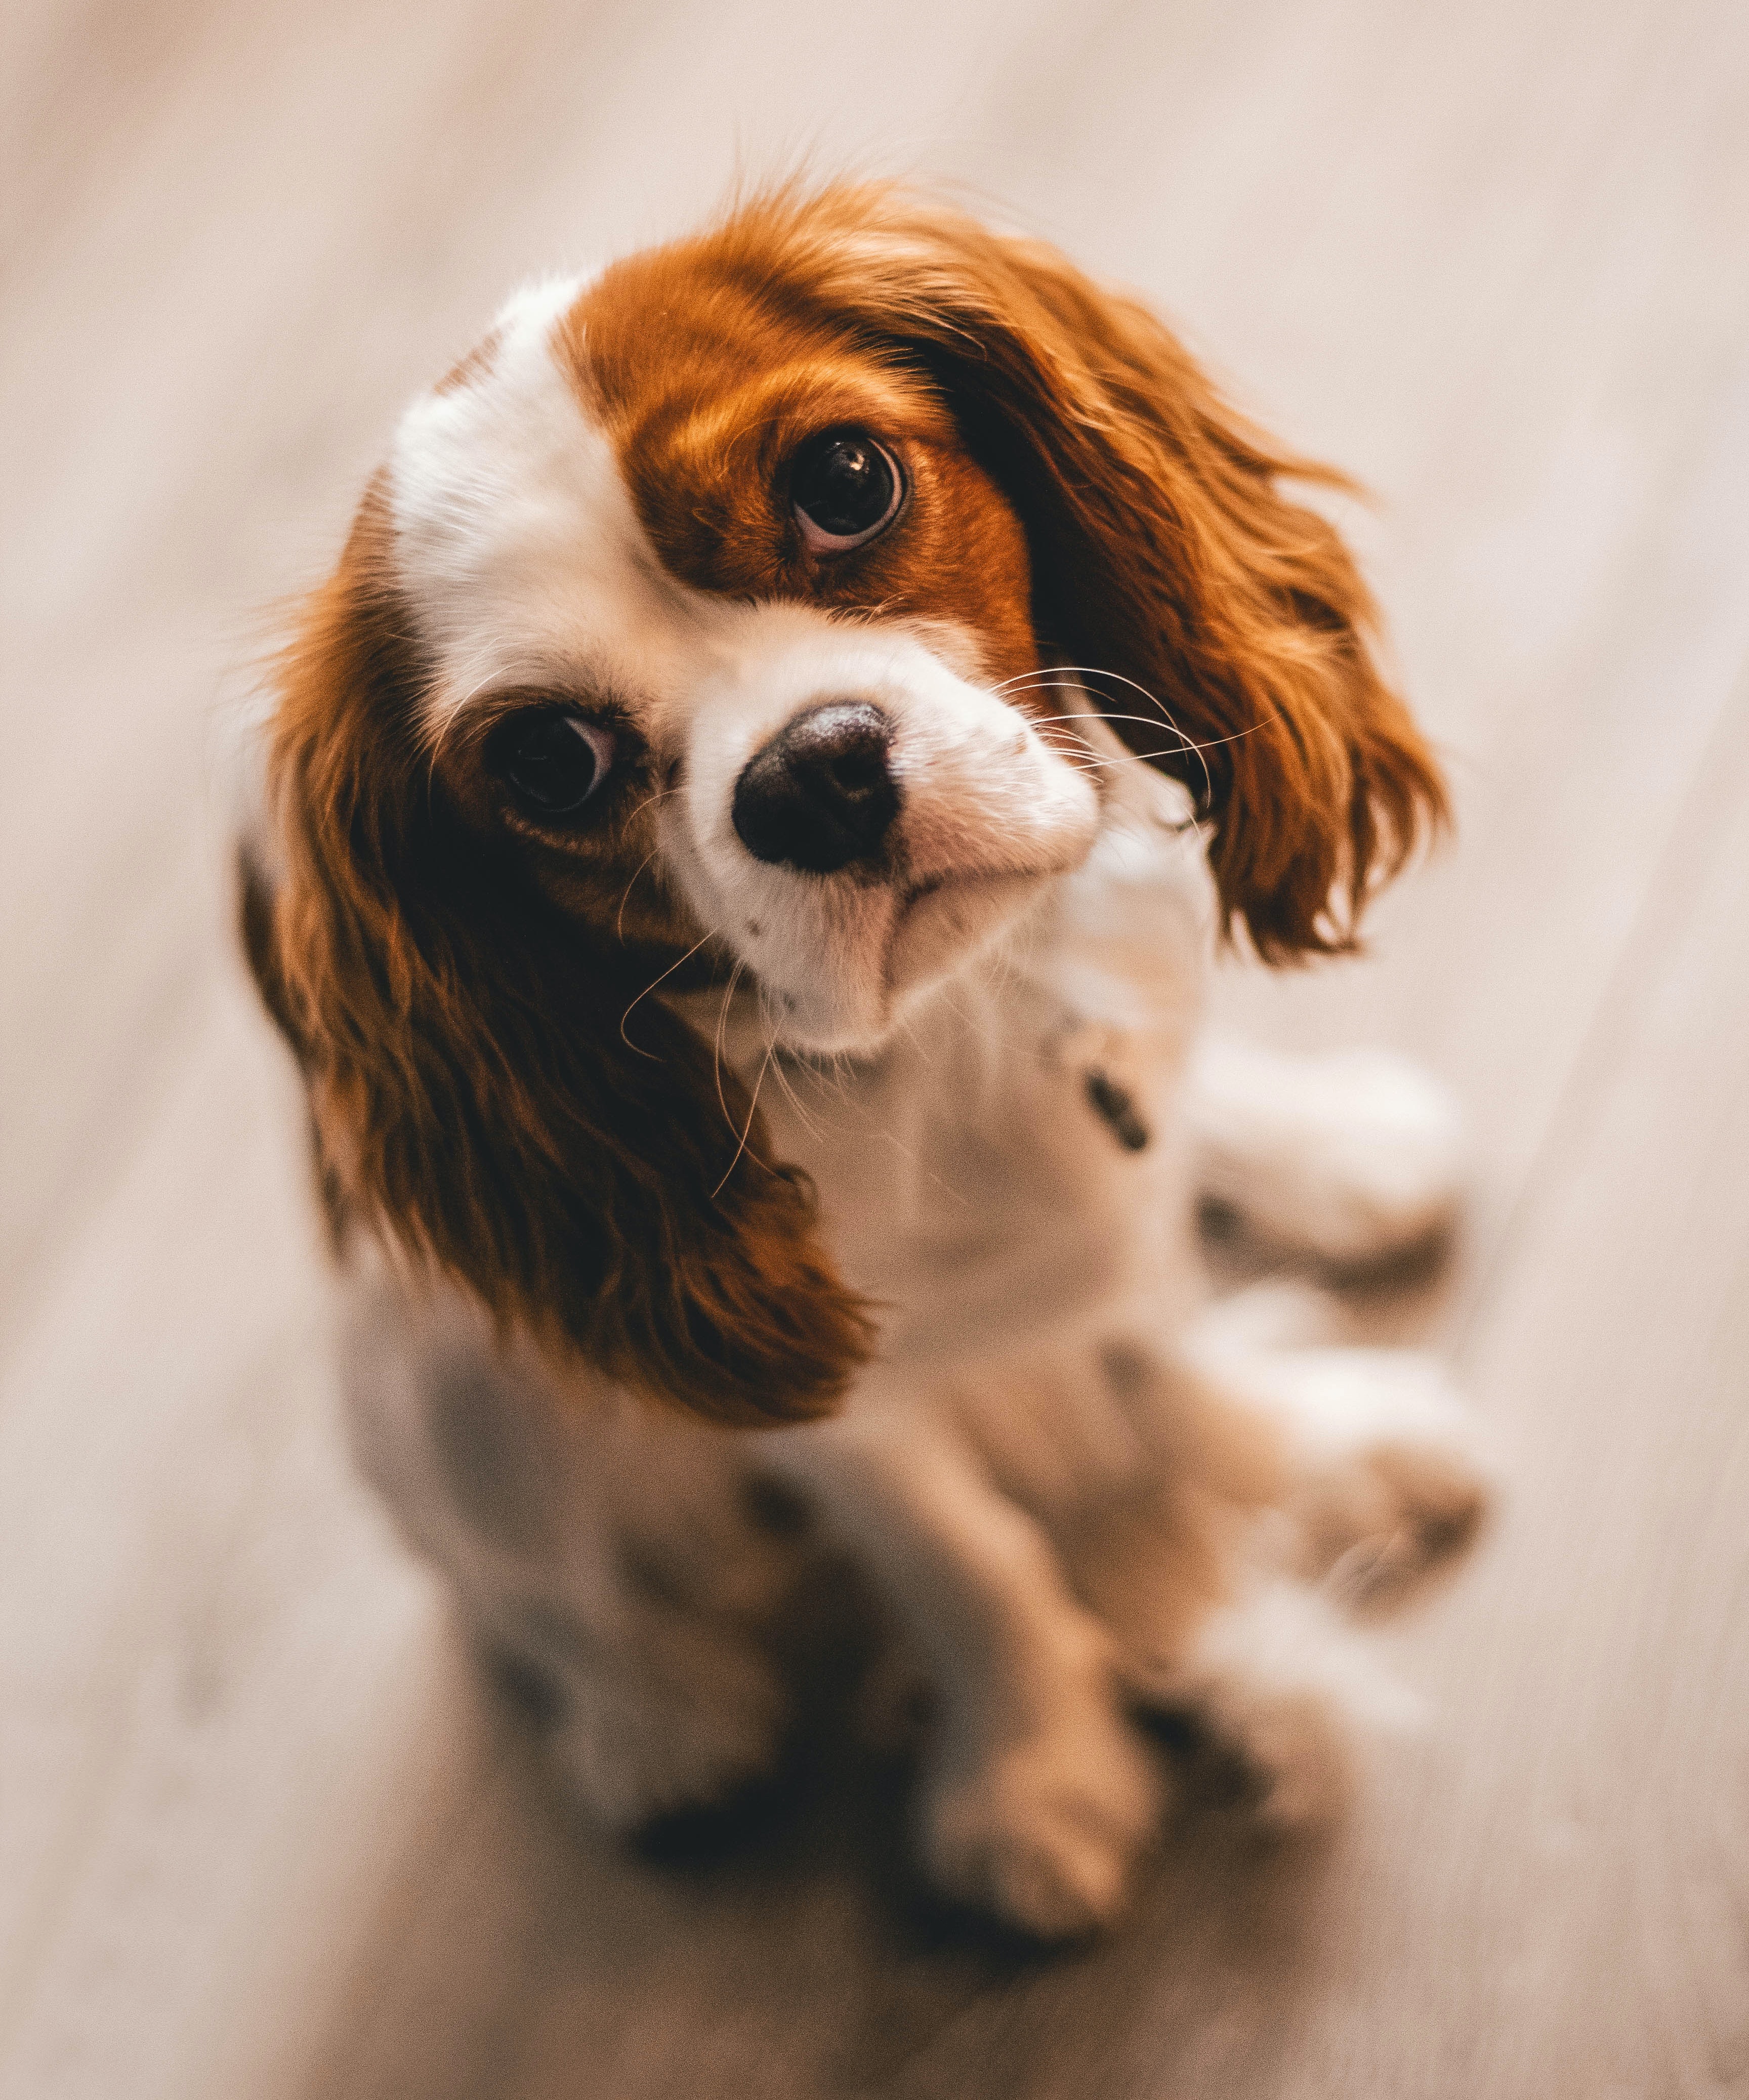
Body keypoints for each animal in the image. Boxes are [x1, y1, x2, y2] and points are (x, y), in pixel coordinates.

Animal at [245, 180, 1494, 1932]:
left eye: (843, 481)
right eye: (553, 761)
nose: (814, 775)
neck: (956, 1040)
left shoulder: (1125, 1215)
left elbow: (1168, 1363)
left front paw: (1291, 1450)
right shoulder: (836, 1415)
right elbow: (968, 1560)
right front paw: (1034, 1774)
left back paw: (1330, 1174)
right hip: (438, 1378)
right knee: (533, 1588)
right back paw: (660, 1712)